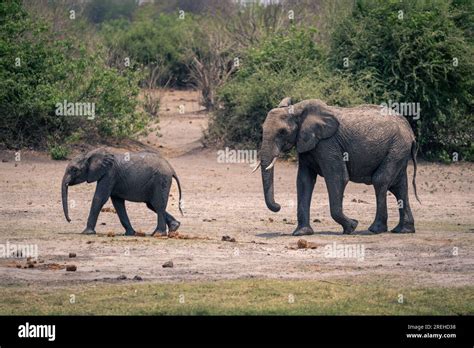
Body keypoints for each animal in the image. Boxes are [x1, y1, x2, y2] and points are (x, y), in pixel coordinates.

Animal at [256, 96, 418, 235]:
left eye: (282, 132)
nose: (278, 206)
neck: (297, 110)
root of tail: (410, 131)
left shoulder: (327, 144)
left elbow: (337, 177)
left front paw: (352, 226)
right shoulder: (307, 144)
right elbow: (304, 181)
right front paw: (301, 233)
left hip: (397, 147)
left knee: (380, 180)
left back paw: (375, 230)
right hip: (399, 150)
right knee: (399, 186)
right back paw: (403, 230)